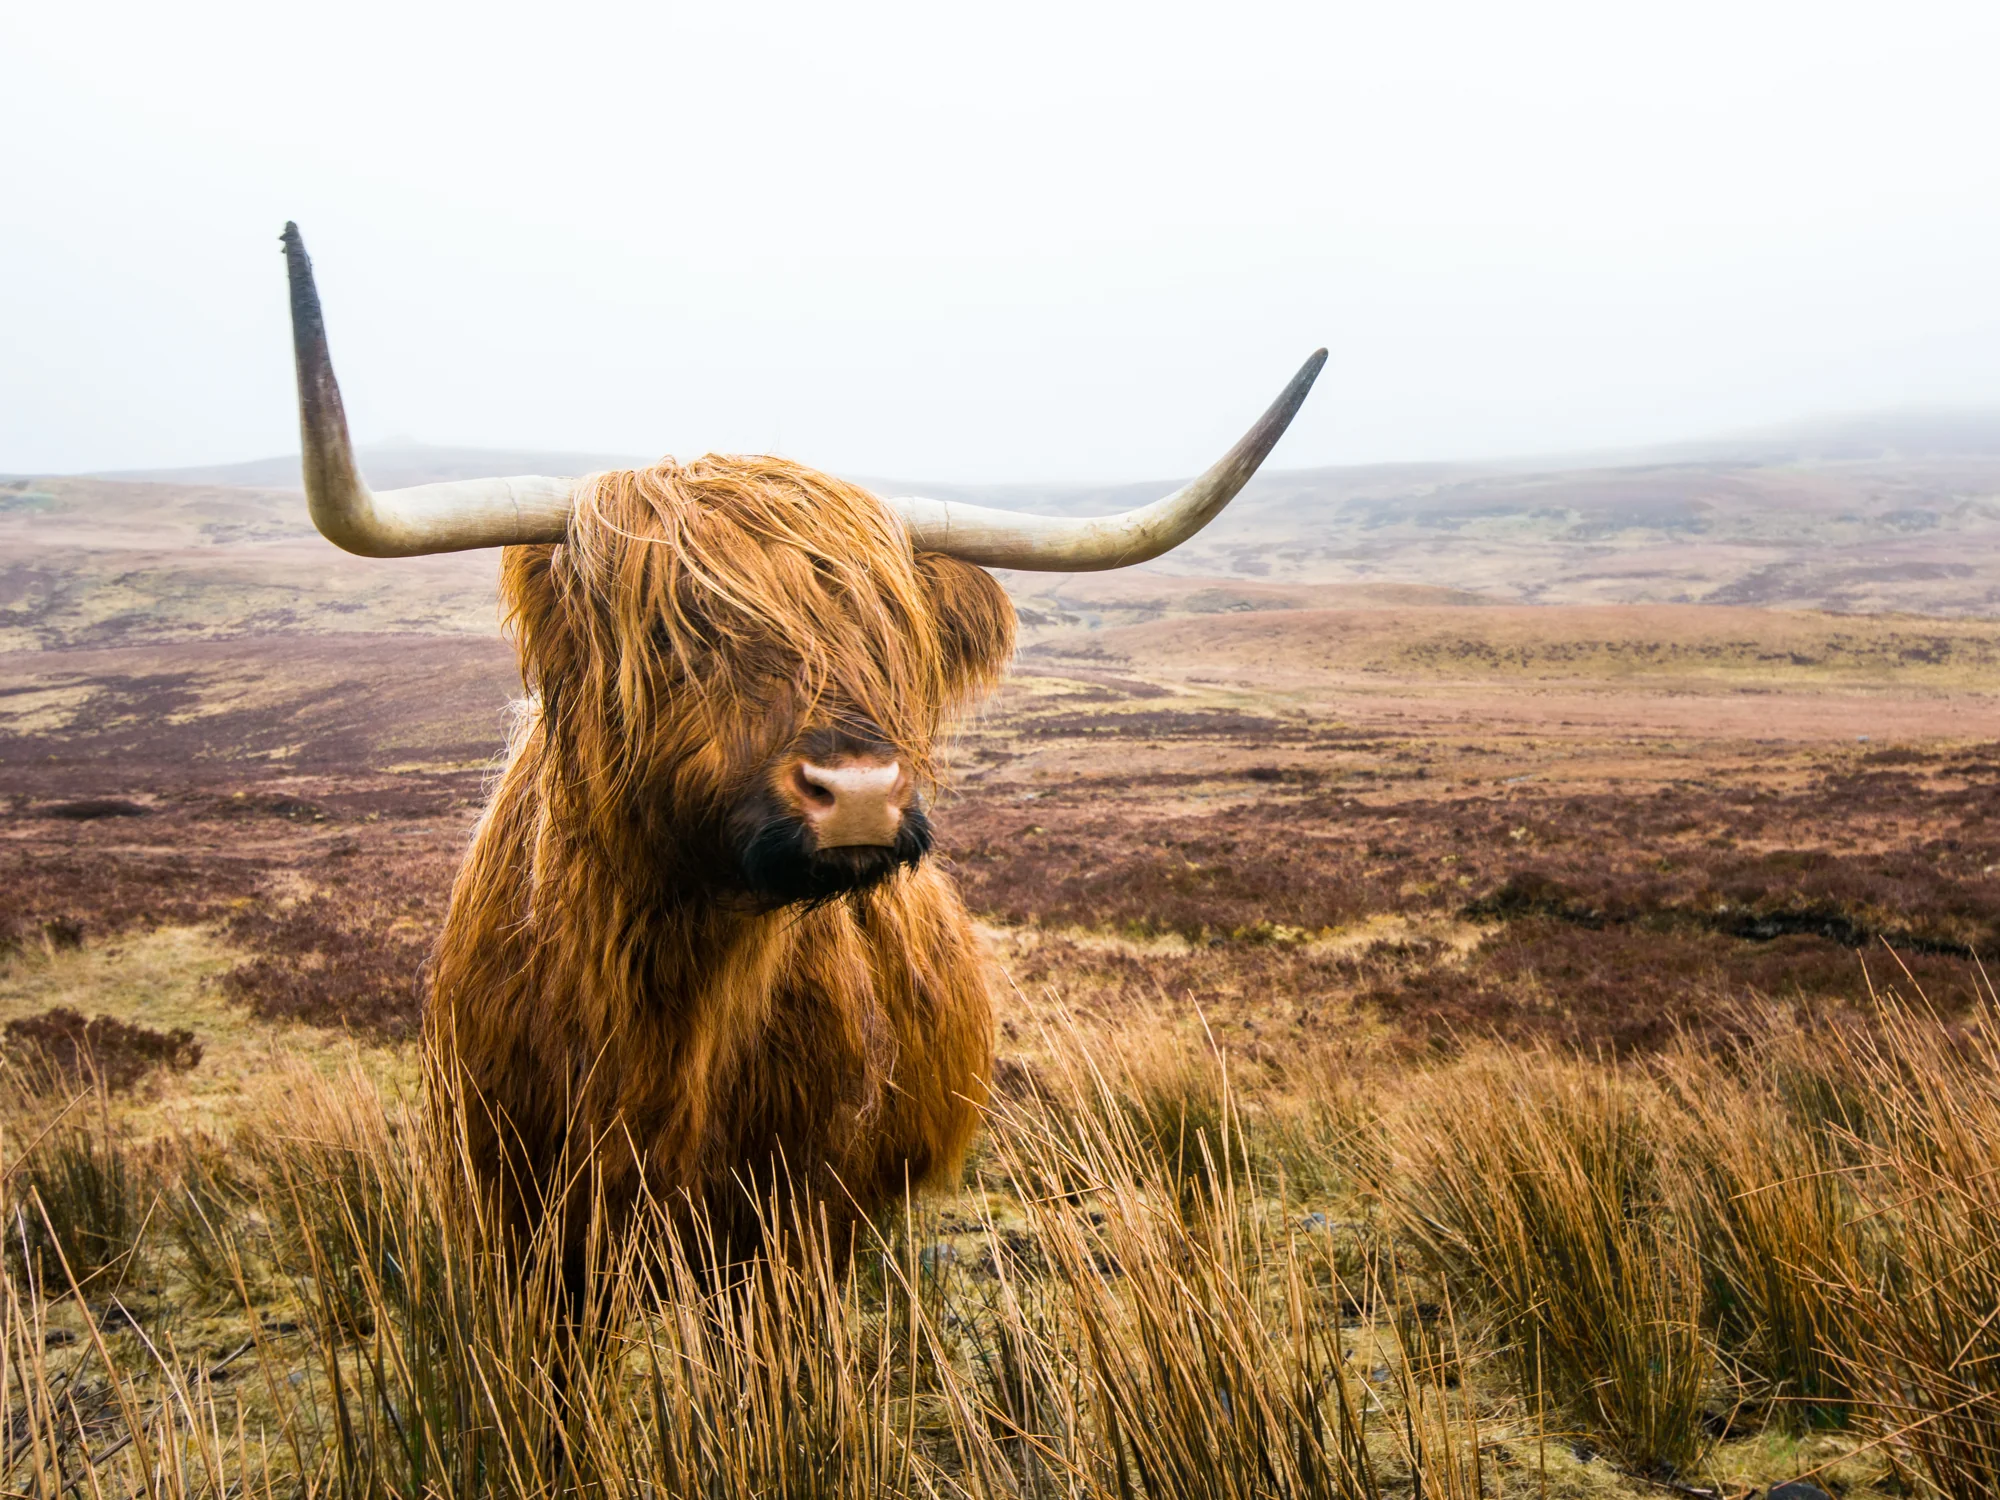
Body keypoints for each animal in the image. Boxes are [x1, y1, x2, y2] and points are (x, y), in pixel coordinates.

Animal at [278, 222, 1323, 1267]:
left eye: (894, 637)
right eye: (674, 635)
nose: (858, 792)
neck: (671, 1001)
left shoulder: (806, 1214)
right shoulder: (517, 1216)